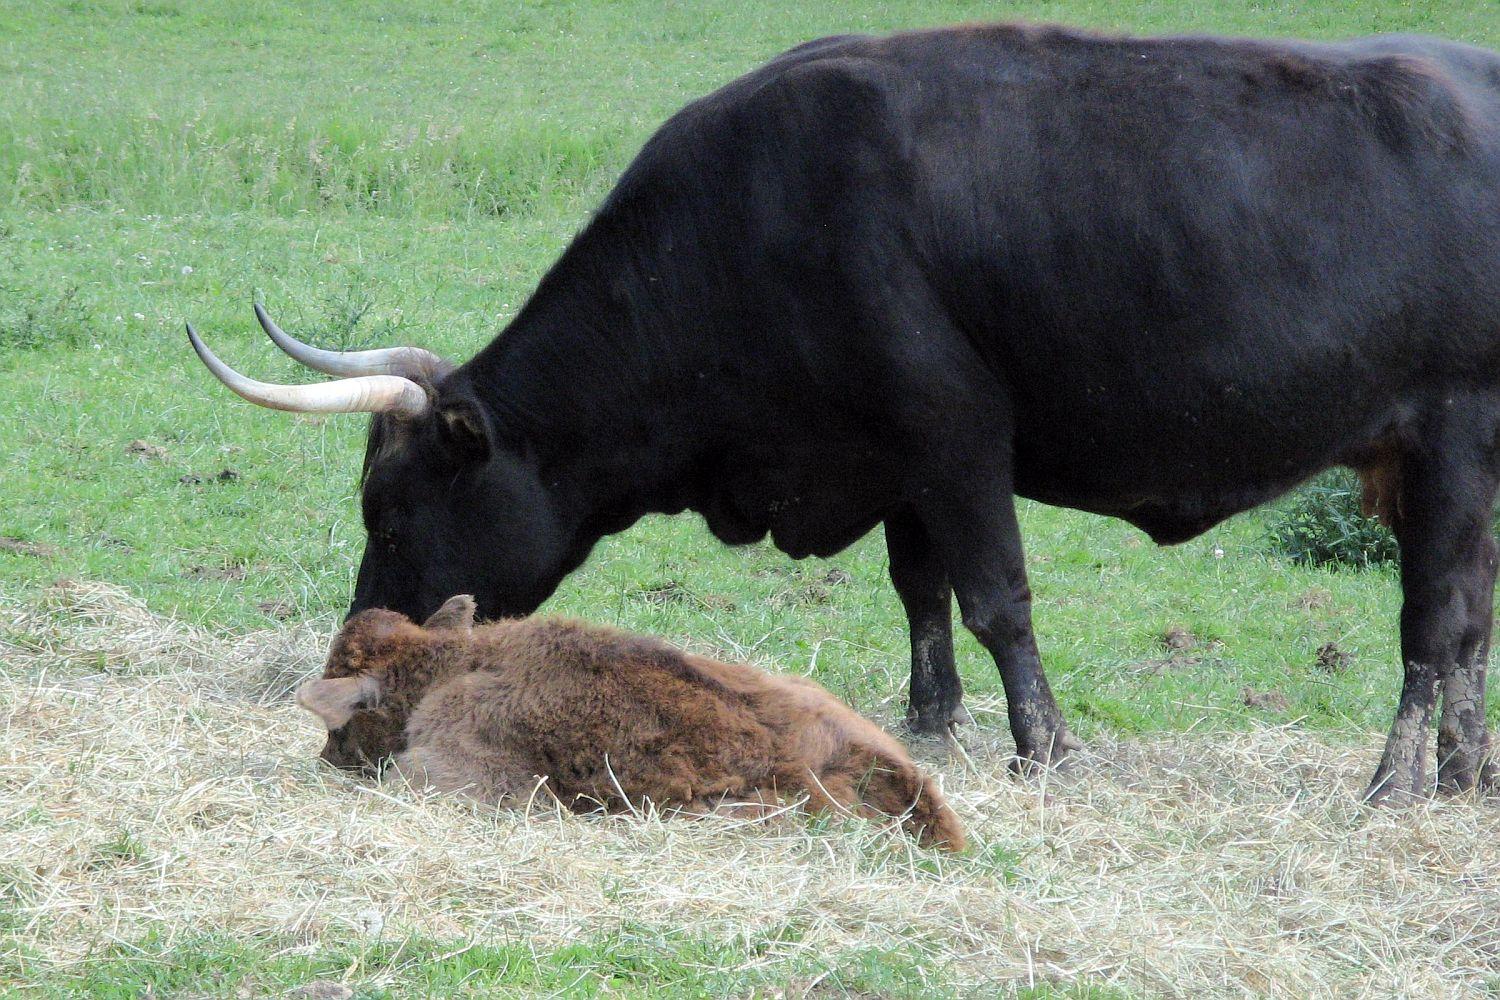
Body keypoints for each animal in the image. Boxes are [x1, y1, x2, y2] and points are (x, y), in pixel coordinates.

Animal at [190, 23, 1500, 803]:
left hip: (1447, 436)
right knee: (1474, 621)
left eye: (391, 508)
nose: (357, 648)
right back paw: (1466, 770)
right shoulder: (897, 465)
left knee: (1432, 625)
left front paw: (1043, 747)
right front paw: (930, 727)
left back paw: (1398, 778)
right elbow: (922, 599)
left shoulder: (958, 438)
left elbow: (995, 599)